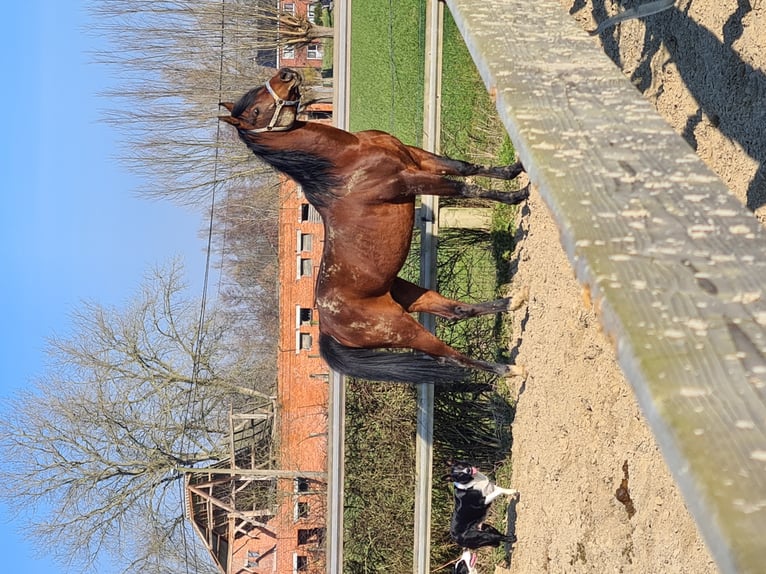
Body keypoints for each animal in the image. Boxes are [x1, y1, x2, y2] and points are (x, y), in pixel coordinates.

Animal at [220, 70, 528, 388]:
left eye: (258, 95)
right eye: (256, 112)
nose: (287, 74)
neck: (346, 162)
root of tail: (326, 327)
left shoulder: (417, 158)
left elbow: (464, 168)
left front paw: (515, 170)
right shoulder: (411, 180)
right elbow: (466, 188)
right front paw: (518, 196)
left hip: (407, 295)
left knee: (455, 311)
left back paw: (516, 300)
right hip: (400, 328)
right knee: (449, 356)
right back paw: (511, 369)